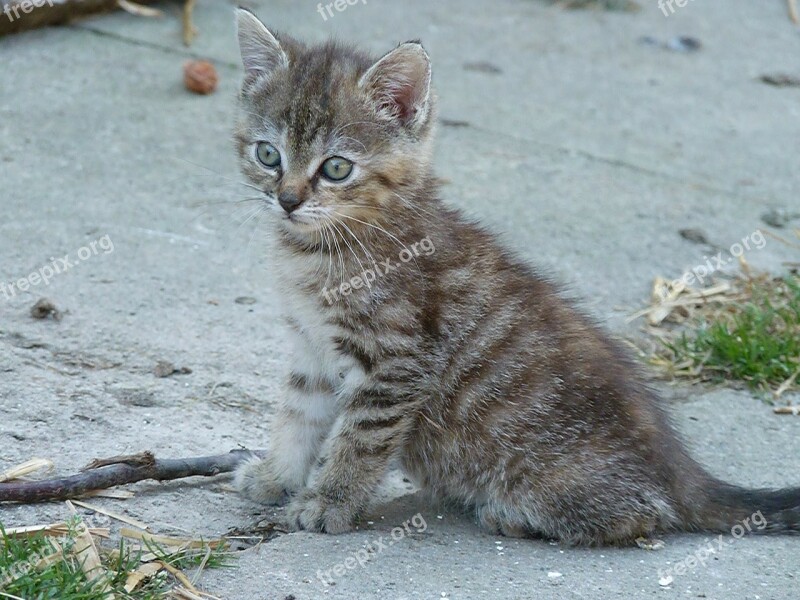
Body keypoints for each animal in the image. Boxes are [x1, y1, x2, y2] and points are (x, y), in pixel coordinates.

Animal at [228, 9, 796, 548]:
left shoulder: (397, 361)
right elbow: (298, 416)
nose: (287, 200)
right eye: (268, 154)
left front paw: (331, 502)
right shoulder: (312, 349)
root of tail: (678, 470)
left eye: (337, 168)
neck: (318, 252)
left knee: (642, 516)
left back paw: (514, 514)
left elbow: (359, 442)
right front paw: (276, 477)